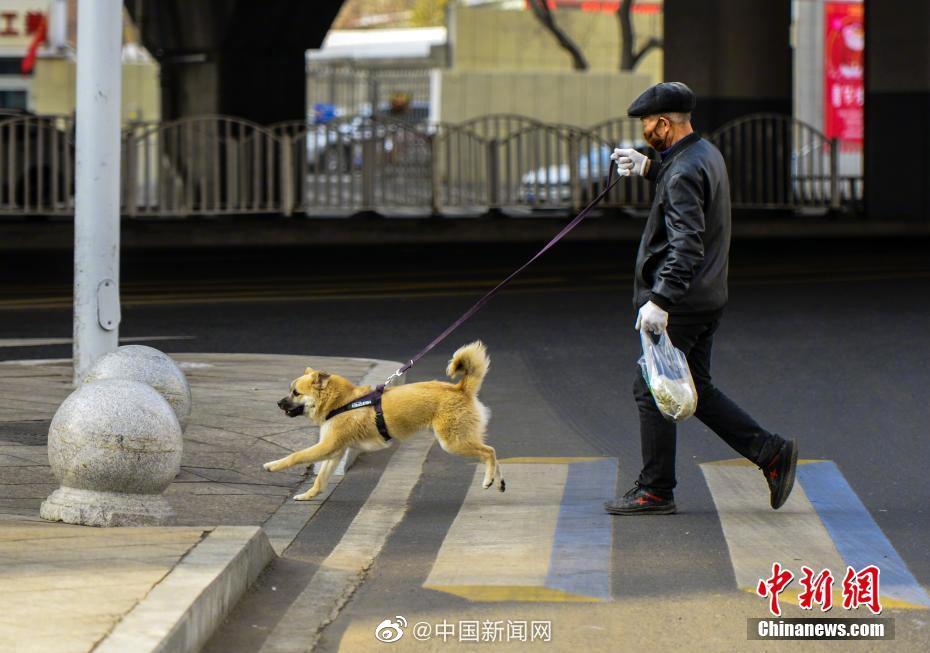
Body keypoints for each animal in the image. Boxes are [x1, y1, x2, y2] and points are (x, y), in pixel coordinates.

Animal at [264, 342, 504, 500]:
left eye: (295, 393)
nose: (277, 403)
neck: (342, 402)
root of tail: (460, 389)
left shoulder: (327, 446)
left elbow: (296, 456)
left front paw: (273, 465)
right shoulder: (335, 451)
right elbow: (320, 479)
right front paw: (308, 495)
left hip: (453, 442)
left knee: (489, 451)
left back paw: (488, 479)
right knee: (492, 453)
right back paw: (498, 481)